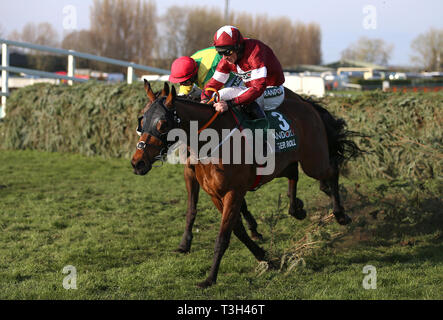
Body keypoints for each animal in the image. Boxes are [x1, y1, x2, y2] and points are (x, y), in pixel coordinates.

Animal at [131, 81, 360, 288]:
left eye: (162, 124)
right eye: (142, 120)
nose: (137, 162)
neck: (214, 141)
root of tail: (306, 103)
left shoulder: (234, 192)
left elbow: (223, 236)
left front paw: (209, 279)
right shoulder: (215, 194)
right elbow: (237, 231)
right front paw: (264, 256)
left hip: (314, 161)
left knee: (332, 170)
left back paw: (340, 214)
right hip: (286, 161)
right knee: (294, 173)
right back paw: (297, 209)